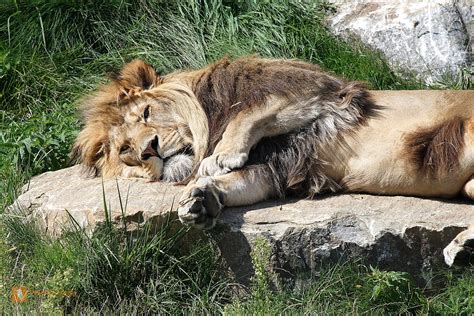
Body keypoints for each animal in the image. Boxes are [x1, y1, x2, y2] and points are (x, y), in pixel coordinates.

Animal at [70, 57, 474, 266]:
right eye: (126, 151)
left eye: (147, 113)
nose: (150, 149)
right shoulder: (276, 167)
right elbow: (240, 182)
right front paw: (200, 200)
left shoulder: (318, 89)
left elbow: (249, 111)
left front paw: (220, 156)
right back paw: (464, 247)